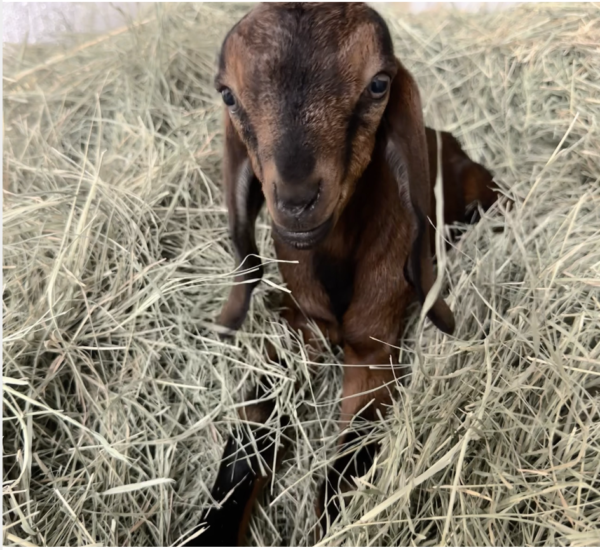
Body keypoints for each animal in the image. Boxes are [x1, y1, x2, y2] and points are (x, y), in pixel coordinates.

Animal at [185, 3, 500, 548]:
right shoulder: (294, 333)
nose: (296, 199)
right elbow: (245, 447)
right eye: (227, 93)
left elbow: (344, 469)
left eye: (378, 84)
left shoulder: (375, 354)